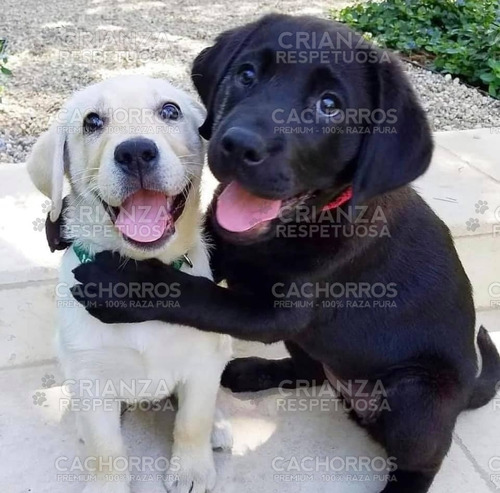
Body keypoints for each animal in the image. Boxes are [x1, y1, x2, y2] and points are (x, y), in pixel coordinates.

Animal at [26, 76, 231, 492]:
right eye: (92, 121)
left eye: (170, 111)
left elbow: (192, 421)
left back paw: (217, 427)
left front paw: (191, 470)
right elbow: (105, 449)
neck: (138, 280)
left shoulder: (203, 362)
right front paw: (107, 483)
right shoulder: (89, 377)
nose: (136, 152)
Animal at [71, 13, 500, 490]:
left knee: (424, 460)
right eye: (246, 75)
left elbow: (200, 296)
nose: (238, 145)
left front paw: (120, 286)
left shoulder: (279, 313)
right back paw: (251, 372)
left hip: (416, 396)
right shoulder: (223, 249)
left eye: (329, 105)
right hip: (313, 346)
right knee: (312, 371)